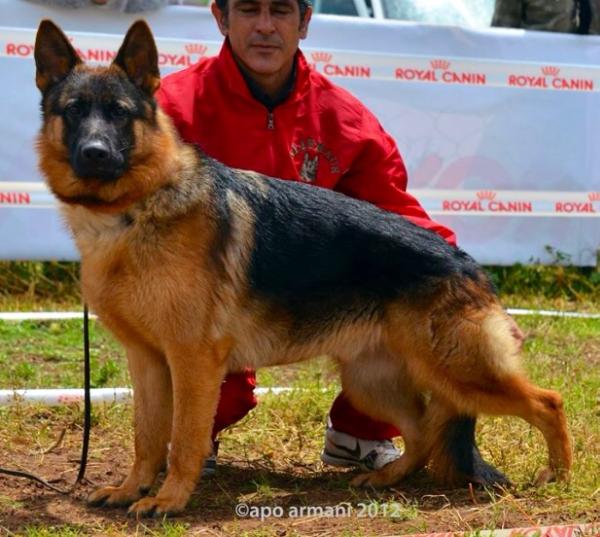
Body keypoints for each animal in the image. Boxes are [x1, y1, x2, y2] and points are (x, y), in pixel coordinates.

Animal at [34, 19, 572, 516]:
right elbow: (146, 436)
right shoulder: (147, 362)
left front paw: (168, 499)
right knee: (422, 433)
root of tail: (468, 266)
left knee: (548, 402)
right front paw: (131, 489)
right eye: (75, 111)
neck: (134, 209)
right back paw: (386, 478)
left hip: (459, 372)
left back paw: (559, 477)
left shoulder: (191, 362)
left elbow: (183, 439)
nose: (95, 154)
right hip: (372, 383)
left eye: (120, 115)